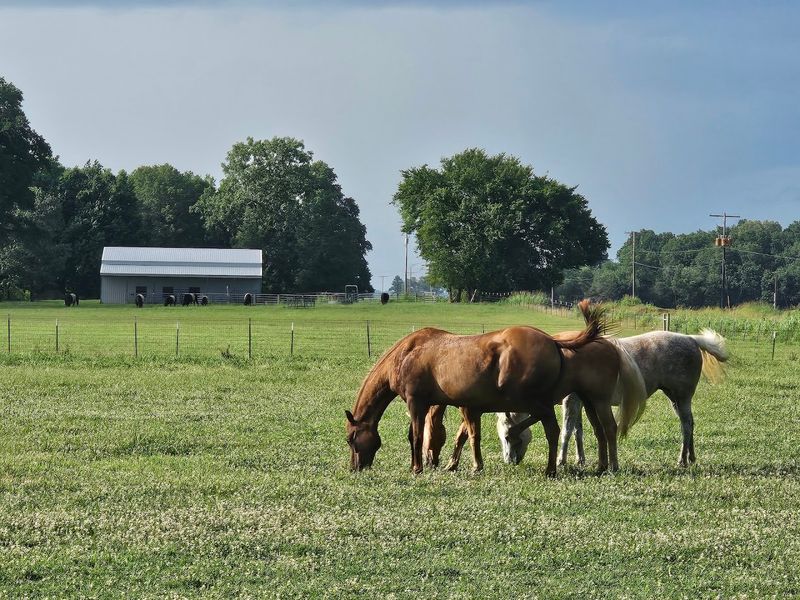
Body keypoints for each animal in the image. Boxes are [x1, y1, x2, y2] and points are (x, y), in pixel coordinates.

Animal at [346, 300, 647, 476]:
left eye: (350, 439)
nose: (355, 467)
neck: (408, 353)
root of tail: (553, 342)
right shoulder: (467, 407)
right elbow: (464, 436)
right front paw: (456, 464)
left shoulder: (416, 402)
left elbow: (418, 436)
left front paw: (417, 467)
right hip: (587, 401)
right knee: (596, 431)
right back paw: (600, 465)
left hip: (546, 401)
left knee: (558, 429)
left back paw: (553, 468)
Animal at [487, 329, 728, 468]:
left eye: (507, 437)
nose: (509, 461)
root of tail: (690, 339)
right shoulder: (581, 401)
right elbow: (578, 431)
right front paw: (580, 459)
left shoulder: (571, 400)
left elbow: (567, 430)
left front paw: (561, 460)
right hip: (674, 398)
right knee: (690, 424)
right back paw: (691, 457)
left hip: (682, 396)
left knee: (686, 425)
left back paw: (681, 460)